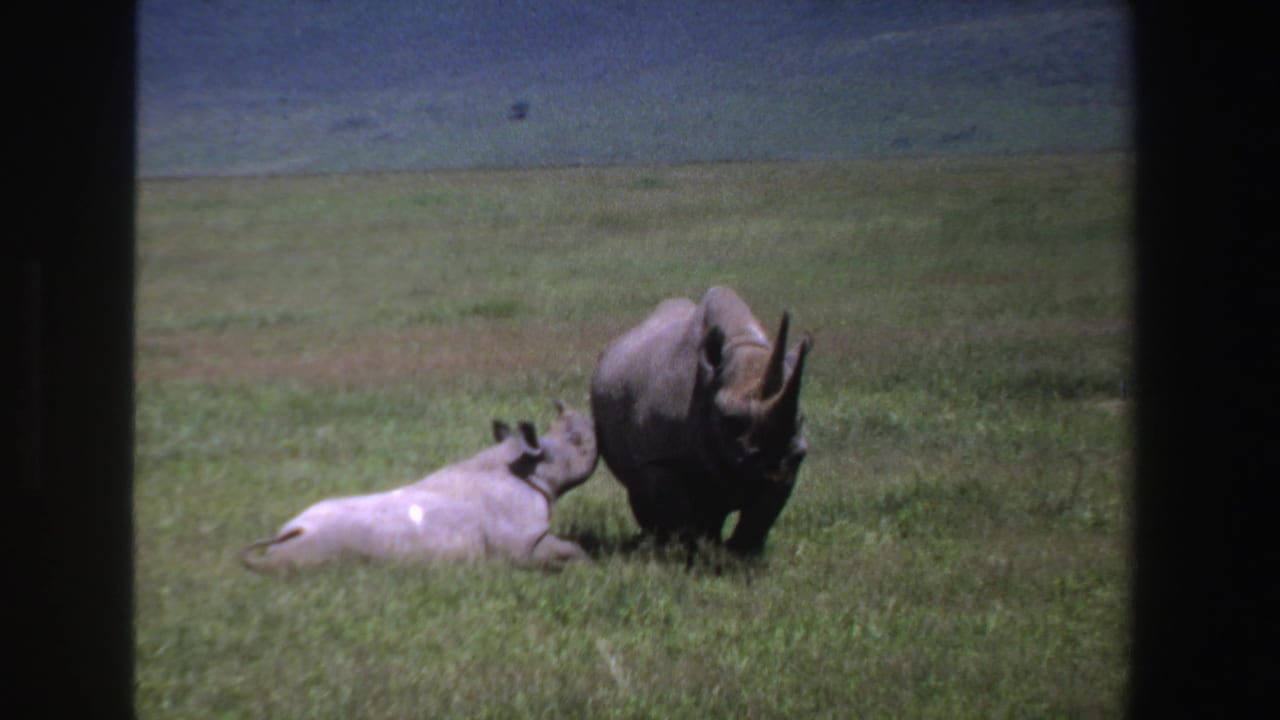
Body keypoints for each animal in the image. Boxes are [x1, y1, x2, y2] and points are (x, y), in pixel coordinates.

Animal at [241, 401, 598, 574]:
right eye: (578, 440)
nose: (594, 421)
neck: (530, 467)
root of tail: (288, 536)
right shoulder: (521, 541)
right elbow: (566, 550)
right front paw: (583, 563)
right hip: (321, 549)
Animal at [590, 287, 811, 556]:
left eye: (801, 418)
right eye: (730, 420)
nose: (774, 465)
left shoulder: (789, 461)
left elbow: (761, 515)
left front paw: (740, 556)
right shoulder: (662, 457)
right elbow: (677, 511)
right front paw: (687, 554)